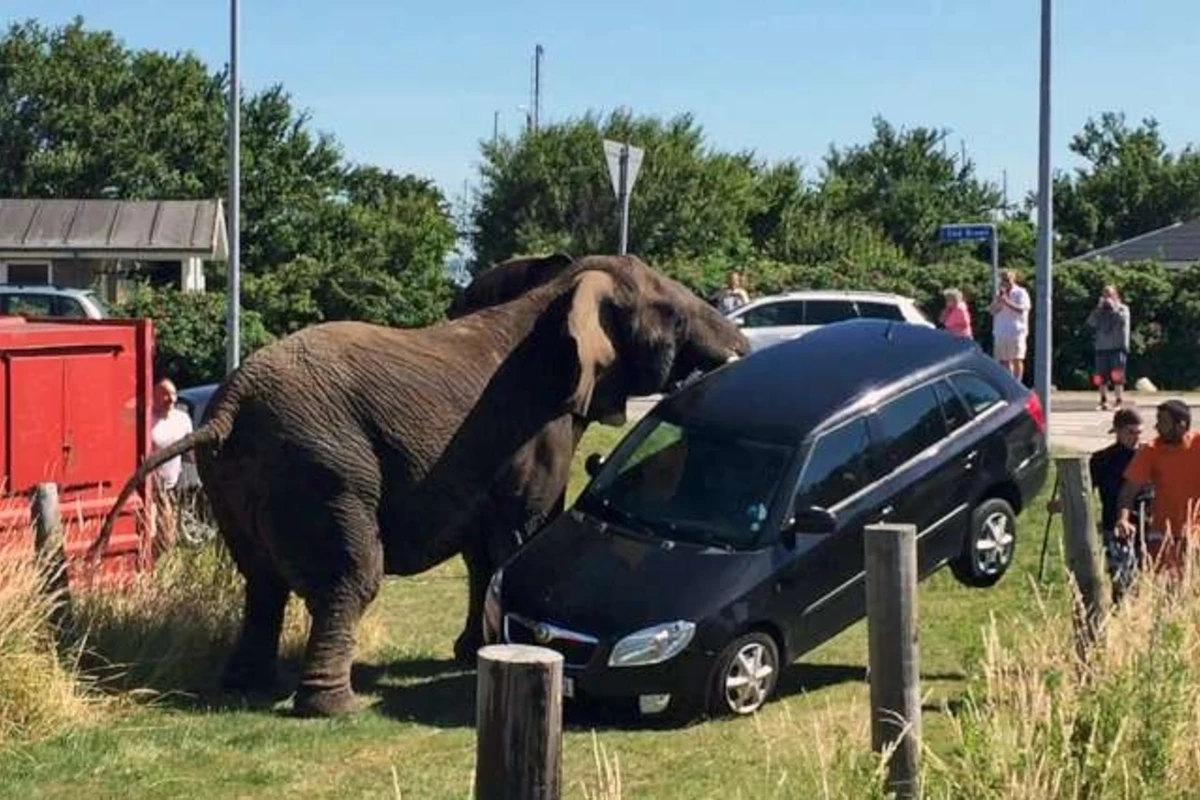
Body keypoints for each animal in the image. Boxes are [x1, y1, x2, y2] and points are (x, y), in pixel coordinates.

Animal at [93, 253, 748, 714]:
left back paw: (246, 688)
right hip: (323, 468)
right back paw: (336, 708)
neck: (555, 295)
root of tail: (227, 408)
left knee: (262, 584)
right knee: (351, 577)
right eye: (675, 312)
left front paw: (470, 654)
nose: (743, 347)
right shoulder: (538, 429)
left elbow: (484, 554)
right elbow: (522, 532)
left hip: (236, 482)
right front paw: (481, 659)